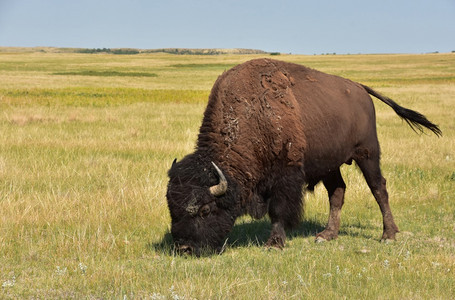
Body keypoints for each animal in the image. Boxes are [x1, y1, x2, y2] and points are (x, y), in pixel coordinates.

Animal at [166, 58, 440, 255]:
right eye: (172, 209)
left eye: (205, 210)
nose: (184, 248)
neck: (253, 114)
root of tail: (360, 89)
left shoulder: (285, 176)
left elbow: (278, 210)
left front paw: (274, 243)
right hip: (331, 165)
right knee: (337, 192)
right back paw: (327, 235)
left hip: (368, 153)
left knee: (378, 188)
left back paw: (388, 235)